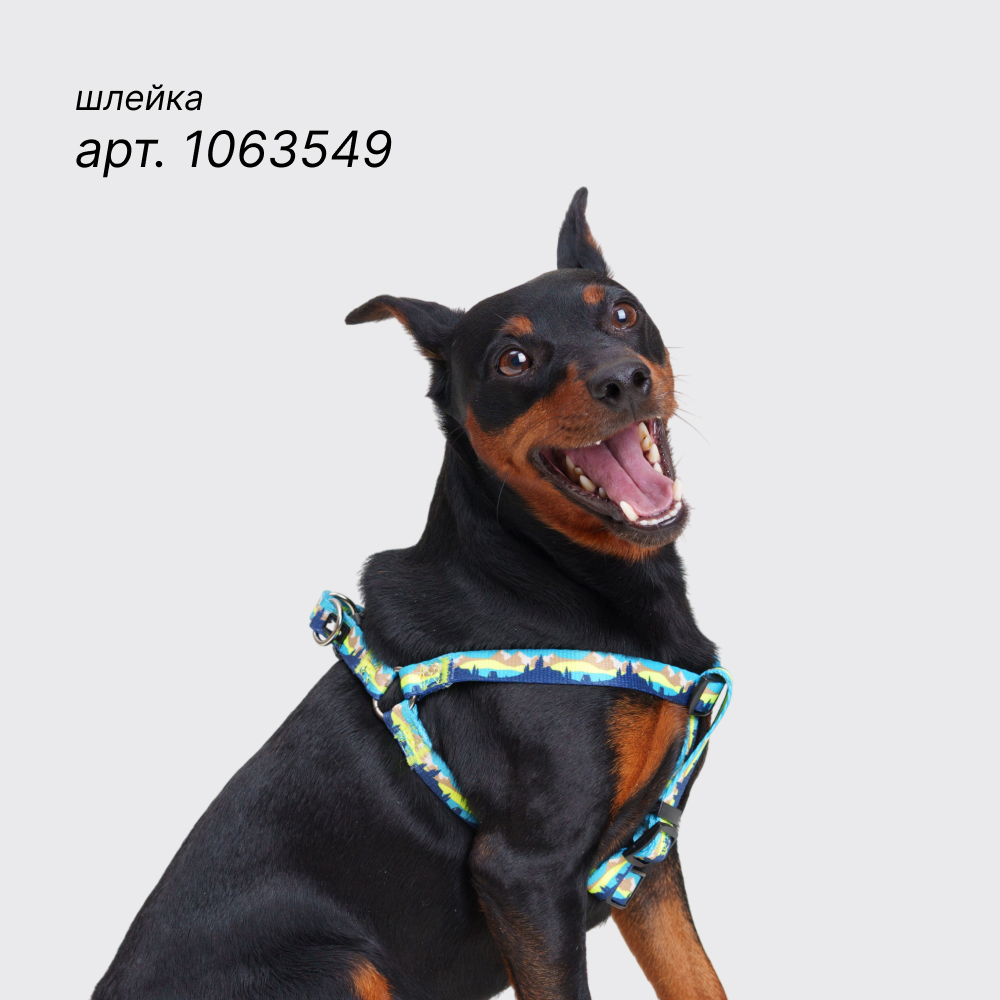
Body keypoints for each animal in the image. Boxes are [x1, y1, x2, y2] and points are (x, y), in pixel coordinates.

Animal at [93, 189, 727, 1000]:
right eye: (513, 359)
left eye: (621, 312)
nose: (624, 379)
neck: (560, 580)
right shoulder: (526, 873)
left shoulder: (643, 861)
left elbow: (699, 978)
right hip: (344, 965)